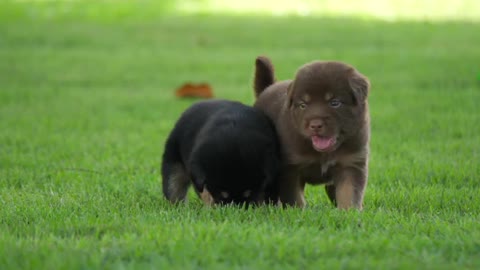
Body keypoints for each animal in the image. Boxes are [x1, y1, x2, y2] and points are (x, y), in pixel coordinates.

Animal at [253, 56, 370, 210]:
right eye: (303, 105)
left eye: (335, 103)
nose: (315, 125)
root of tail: (267, 89)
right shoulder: (291, 167)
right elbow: (294, 197)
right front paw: (298, 211)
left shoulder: (351, 162)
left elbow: (349, 192)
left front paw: (348, 212)